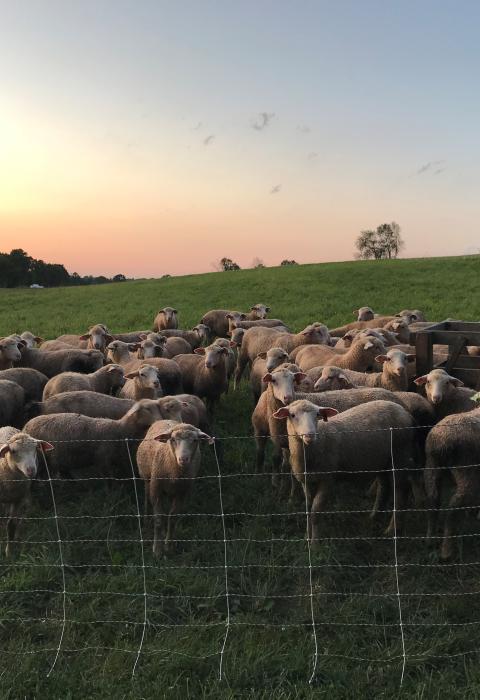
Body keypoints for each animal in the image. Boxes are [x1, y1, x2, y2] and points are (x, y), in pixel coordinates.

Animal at [0, 427, 54, 555]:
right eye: (13, 451)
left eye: (35, 449)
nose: (31, 470)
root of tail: (6, 426)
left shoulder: (18, 499)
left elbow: (12, 525)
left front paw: (9, 552)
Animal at [24, 399, 165, 479]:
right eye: (147, 409)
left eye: (158, 408)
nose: (160, 420)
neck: (120, 429)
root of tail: (26, 426)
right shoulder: (103, 460)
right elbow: (110, 481)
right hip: (39, 460)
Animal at [137, 421, 213, 554]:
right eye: (172, 439)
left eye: (195, 440)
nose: (183, 459)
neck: (176, 473)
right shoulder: (155, 488)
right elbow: (158, 519)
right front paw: (157, 550)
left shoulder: (182, 492)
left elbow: (172, 518)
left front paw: (168, 545)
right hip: (146, 477)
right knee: (147, 497)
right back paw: (146, 519)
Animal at [272, 399, 418, 545]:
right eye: (292, 415)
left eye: (317, 414)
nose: (310, 435)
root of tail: (403, 410)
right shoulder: (307, 480)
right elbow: (308, 508)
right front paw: (306, 537)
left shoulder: (327, 479)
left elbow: (315, 511)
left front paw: (314, 544)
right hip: (382, 461)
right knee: (384, 487)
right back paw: (374, 517)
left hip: (400, 454)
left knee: (400, 491)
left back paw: (392, 529)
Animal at [424, 408, 480, 559]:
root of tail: (441, 442)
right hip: (466, 472)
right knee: (453, 509)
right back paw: (446, 552)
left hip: (432, 467)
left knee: (433, 500)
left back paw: (430, 539)